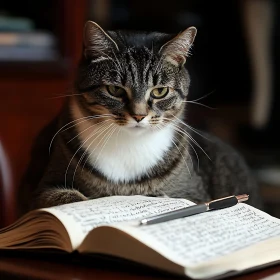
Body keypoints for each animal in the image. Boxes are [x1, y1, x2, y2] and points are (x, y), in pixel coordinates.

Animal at [19, 21, 262, 214]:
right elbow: (65, 199)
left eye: (159, 91)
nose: (139, 115)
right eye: (115, 90)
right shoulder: (40, 189)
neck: (129, 144)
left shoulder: (193, 192)